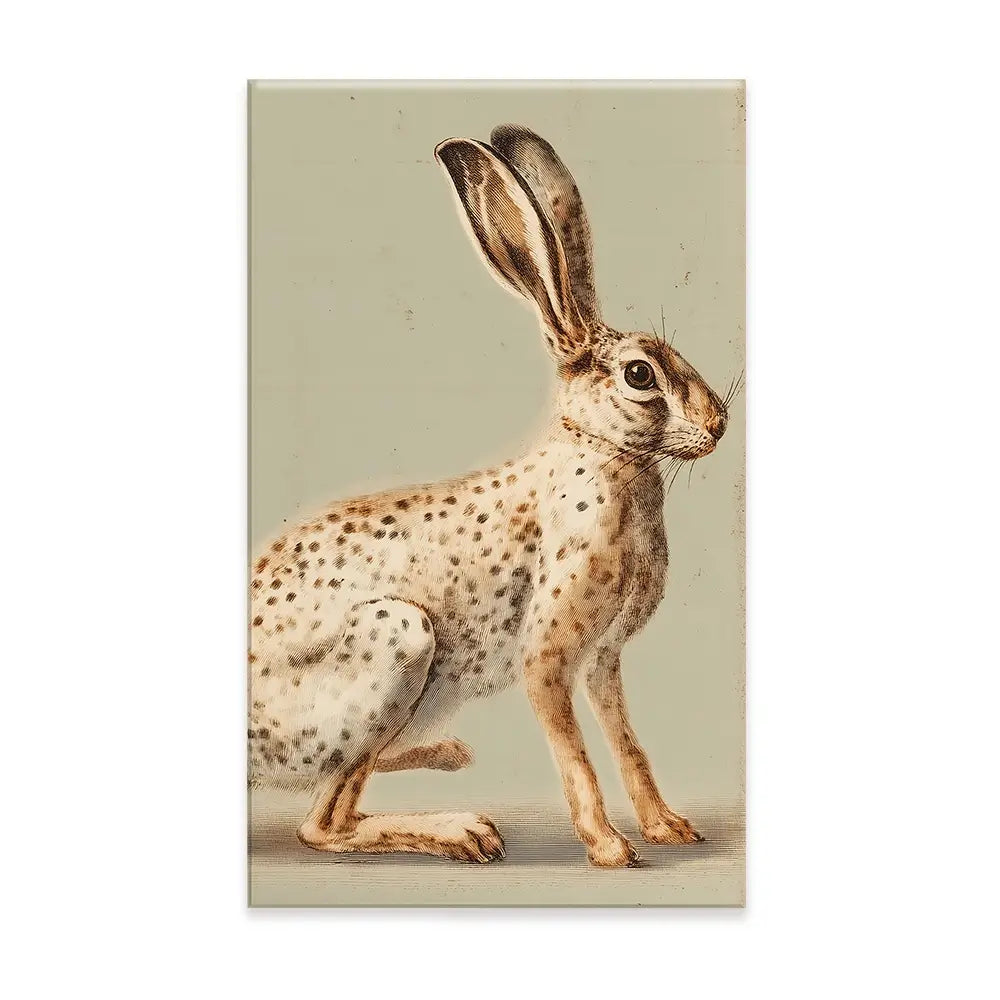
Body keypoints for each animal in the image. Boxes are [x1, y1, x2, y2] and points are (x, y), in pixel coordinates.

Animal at [248, 123, 730, 867]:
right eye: (640, 375)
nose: (719, 424)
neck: (606, 458)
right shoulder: (547, 657)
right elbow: (578, 760)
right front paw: (610, 849)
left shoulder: (604, 660)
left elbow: (628, 744)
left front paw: (667, 827)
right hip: (399, 645)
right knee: (323, 824)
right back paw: (464, 831)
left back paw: (449, 756)